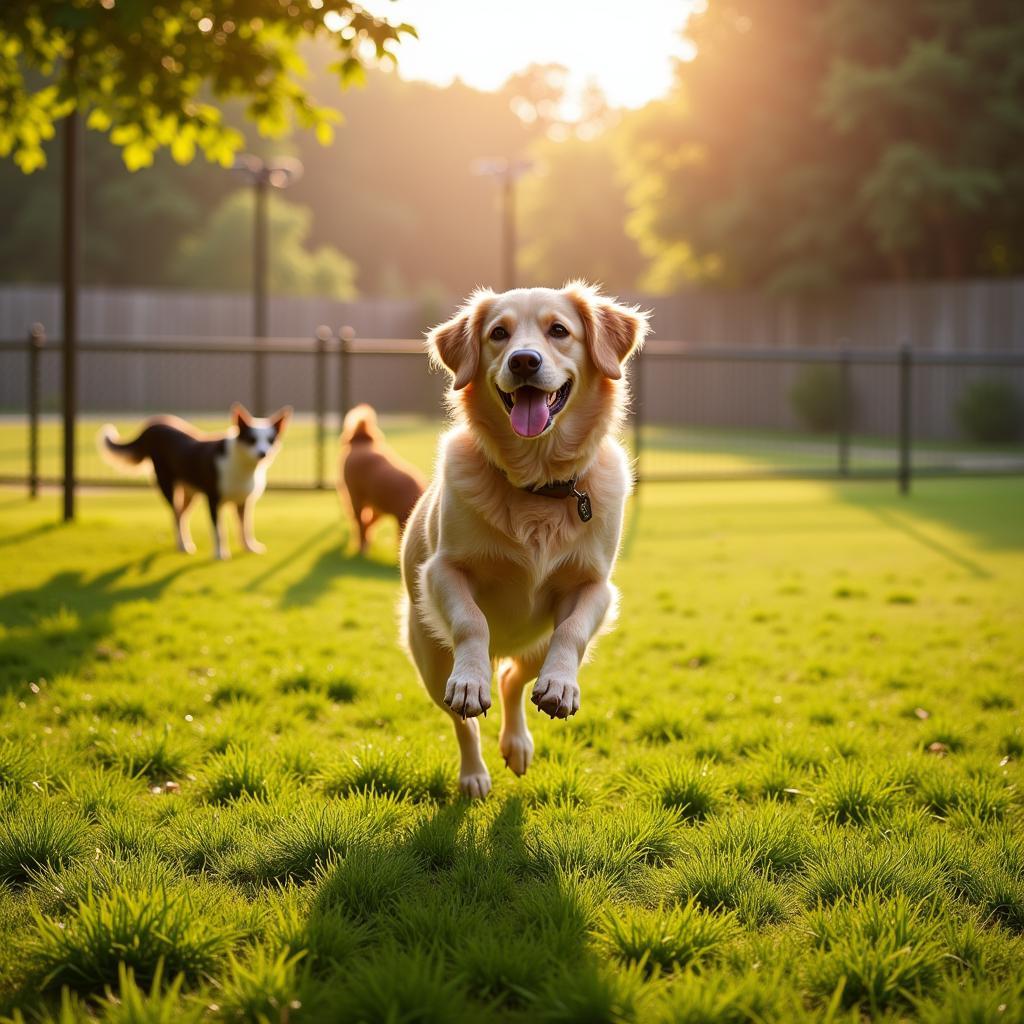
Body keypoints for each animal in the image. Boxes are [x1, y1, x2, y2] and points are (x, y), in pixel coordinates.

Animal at [97, 401, 290, 561]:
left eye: (271, 440)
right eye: (252, 439)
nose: (263, 453)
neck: (243, 466)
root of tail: (153, 426)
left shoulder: (243, 502)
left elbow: (245, 527)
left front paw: (249, 547)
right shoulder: (213, 500)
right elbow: (219, 531)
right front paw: (220, 554)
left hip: (190, 493)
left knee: (182, 515)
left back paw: (181, 544)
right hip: (168, 486)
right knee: (176, 516)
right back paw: (184, 545)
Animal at [337, 403, 425, 557]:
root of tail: (360, 438)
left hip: (375, 504)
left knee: (366, 523)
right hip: (355, 496)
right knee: (360, 522)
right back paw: (361, 548)